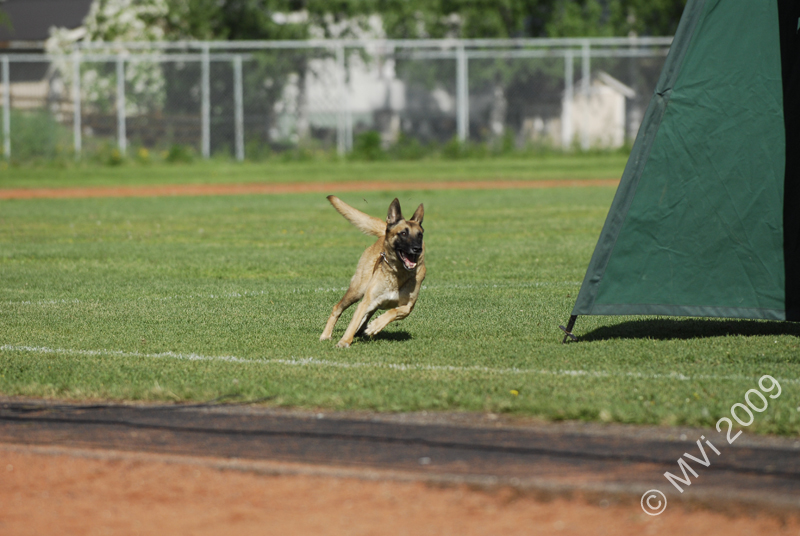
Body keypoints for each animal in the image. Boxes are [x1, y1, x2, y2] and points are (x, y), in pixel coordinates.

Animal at [322, 196, 428, 348]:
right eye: (403, 233)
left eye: (419, 235)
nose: (417, 249)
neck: (397, 274)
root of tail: (383, 234)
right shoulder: (366, 302)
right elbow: (353, 323)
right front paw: (344, 341)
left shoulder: (408, 307)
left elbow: (394, 312)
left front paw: (375, 326)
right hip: (357, 290)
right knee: (338, 308)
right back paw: (326, 335)